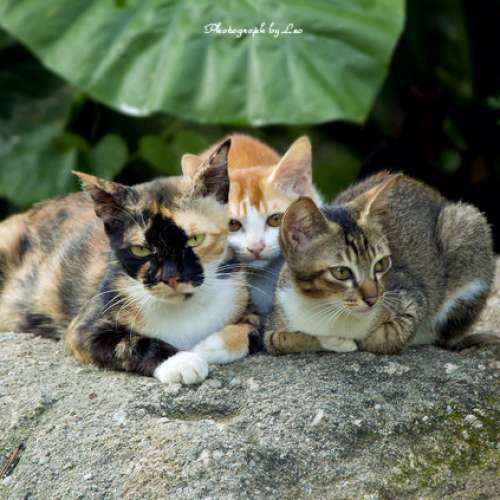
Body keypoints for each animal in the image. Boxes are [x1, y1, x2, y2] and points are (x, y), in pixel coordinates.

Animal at [0, 140, 260, 384]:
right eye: (140, 249)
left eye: (195, 239)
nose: (171, 278)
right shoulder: (82, 330)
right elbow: (130, 343)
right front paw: (181, 361)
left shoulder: (249, 304)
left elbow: (249, 331)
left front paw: (206, 348)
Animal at [265, 171, 496, 355]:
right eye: (341, 272)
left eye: (381, 264)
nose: (372, 298)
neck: (326, 309)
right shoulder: (272, 326)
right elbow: (283, 339)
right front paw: (332, 341)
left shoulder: (413, 298)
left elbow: (388, 336)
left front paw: (360, 340)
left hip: (469, 224)